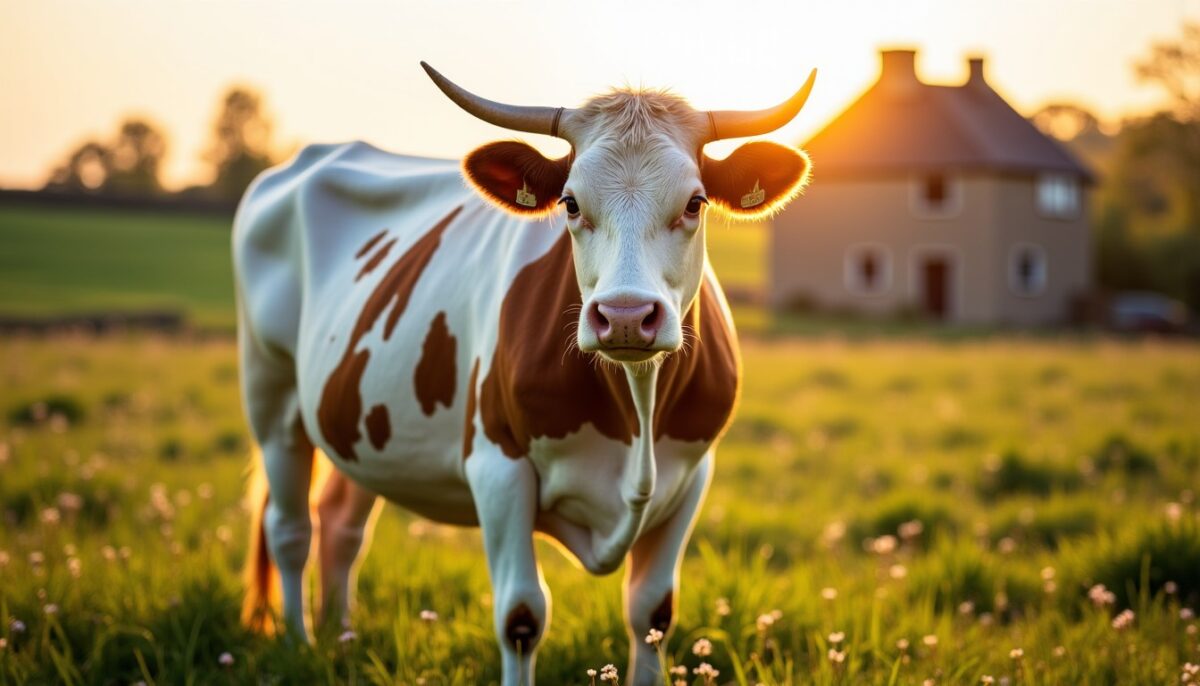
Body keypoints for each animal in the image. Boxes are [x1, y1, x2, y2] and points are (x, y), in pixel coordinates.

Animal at [234, 62, 814, 685]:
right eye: (570, 203)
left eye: (696, 202)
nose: (625, 316)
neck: (633, 405)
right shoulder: (497, 467)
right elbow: (521, 616)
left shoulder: (693, 474)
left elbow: (652, 612)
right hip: (271, 396)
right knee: (290, 530)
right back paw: (298, 643)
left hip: (357, 421)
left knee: (341, 525)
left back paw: (340, 642)